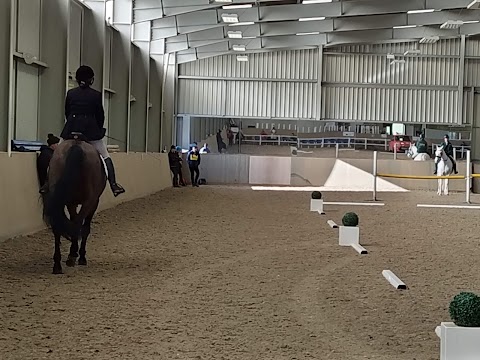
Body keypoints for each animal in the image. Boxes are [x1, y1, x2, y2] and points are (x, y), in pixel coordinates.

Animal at [42, 134, 106, 272]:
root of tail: (76, 145)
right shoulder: (94, 202)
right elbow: (84, 228)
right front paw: (80, 256)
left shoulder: (71, 203)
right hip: (89, 202)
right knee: (78, 225)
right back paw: (72, 256)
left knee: (58, 226)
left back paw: (57, 265)